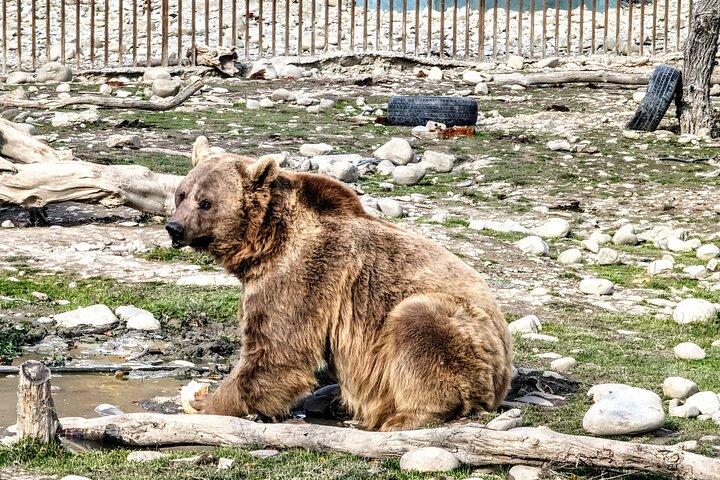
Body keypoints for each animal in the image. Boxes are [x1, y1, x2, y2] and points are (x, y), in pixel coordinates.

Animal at [165, 152, 513, 431]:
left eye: (206, 202)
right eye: (181, 194)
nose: (174, 228)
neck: (267, 242)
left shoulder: (304, 274)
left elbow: (276, 350)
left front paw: (207, 402)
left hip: (461, 331)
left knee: (419, 329)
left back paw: (404, 416)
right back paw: (331, 399)